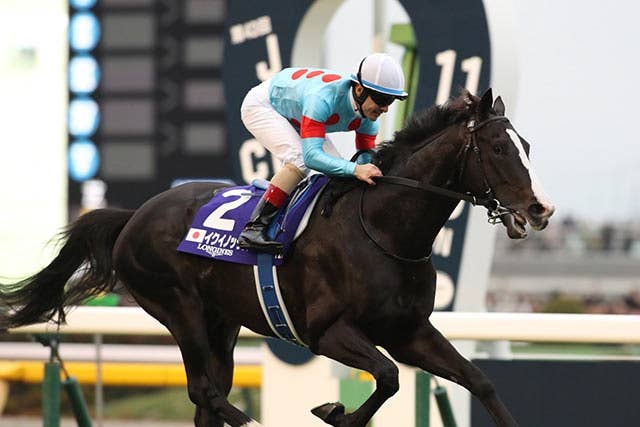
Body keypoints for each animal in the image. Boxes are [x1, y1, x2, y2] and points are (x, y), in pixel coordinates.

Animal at [0, 89, 554, 427]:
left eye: (527, 145)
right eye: (500, 149)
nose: (541, 209)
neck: (382, 230)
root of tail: (137, 213)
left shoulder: (409, 331)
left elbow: (478, 380)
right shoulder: (326, 331)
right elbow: (388, 378)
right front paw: (334, 412)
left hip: (220, 322)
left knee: (207, 396)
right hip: (177, 308)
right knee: (205, 392)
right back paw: (255, 421)